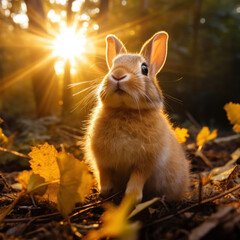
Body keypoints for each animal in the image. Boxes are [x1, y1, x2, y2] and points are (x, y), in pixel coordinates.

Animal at [84, 30, 189, 202]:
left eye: (144, 69)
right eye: (112, 67)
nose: (118, 75)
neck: (125, 110)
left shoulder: (146, 162)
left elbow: (138, 177)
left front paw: (132, 196)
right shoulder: (102, 160)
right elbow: (104, 173)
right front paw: (105, 191)